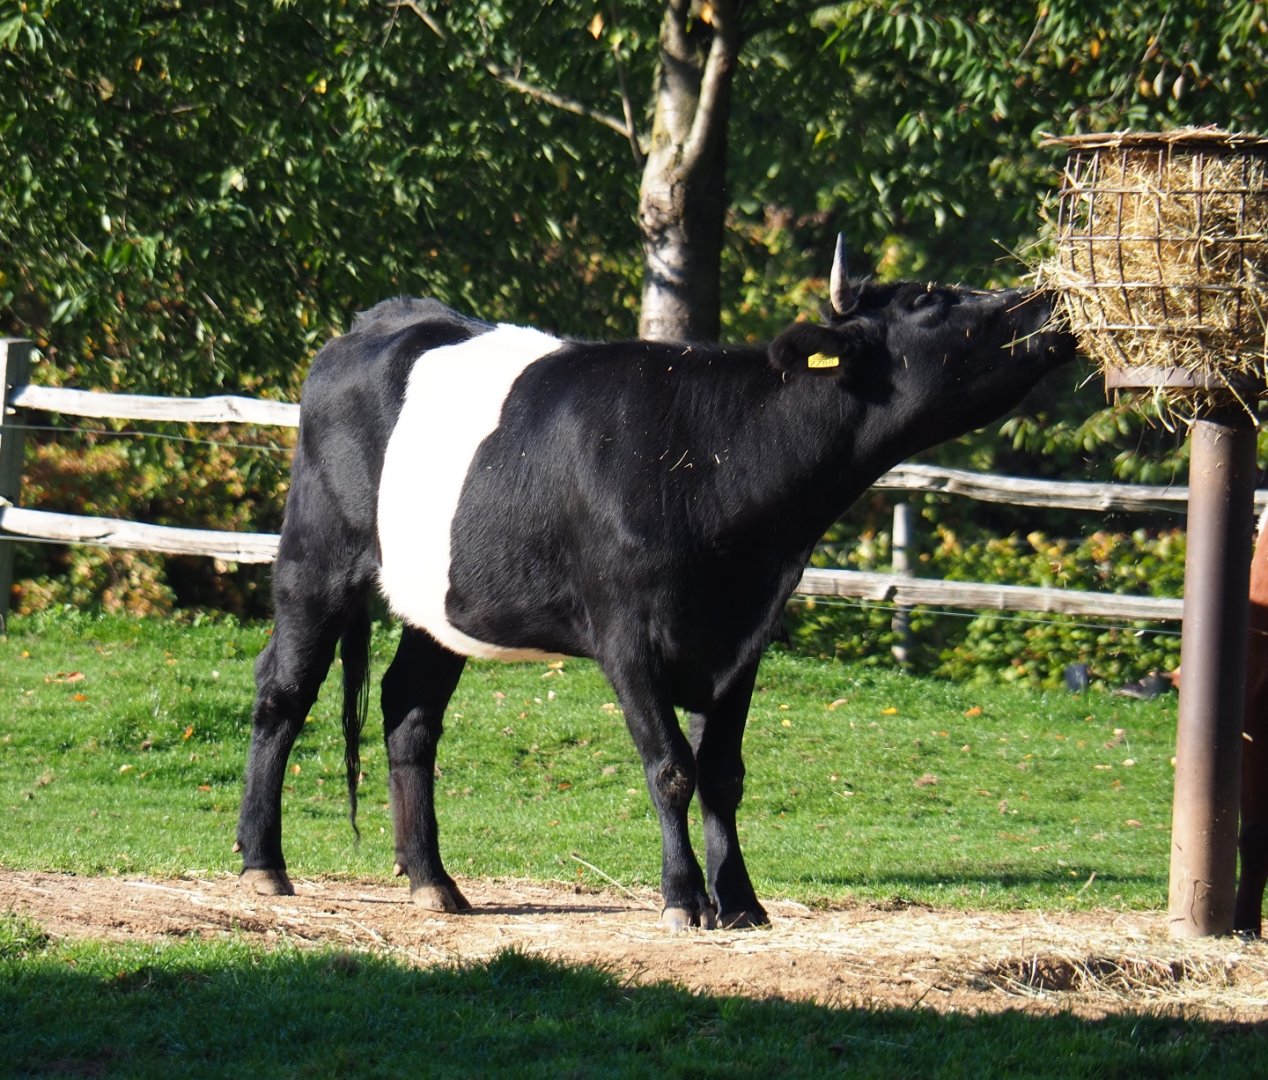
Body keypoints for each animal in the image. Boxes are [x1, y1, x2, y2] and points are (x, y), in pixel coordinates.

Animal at [234, 238, 1075, 930]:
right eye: (930, 301)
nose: (1047, 302)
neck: (718, 459)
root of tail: (379, 319)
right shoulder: (626, 635)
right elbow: (670, 766)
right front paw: (684, 898)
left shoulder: (745, 634)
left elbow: (723, 773)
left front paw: (742, 902)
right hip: (318, 555)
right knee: (283, 689)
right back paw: (262, 863)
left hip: (441, 602)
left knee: (409, 711)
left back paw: (433, 881)